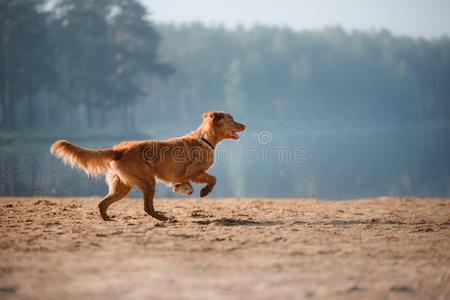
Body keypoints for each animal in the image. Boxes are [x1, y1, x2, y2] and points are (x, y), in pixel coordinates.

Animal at [50, 111, 246, 221]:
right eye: (232, 120)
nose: (245, 124)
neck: (204, 139)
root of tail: (119, 149)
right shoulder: (195, 172)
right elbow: (213, 179)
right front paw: (204, 191)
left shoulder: (186, 174)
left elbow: (187, 184)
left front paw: (182, 188)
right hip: (148, 181)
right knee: (147, 207)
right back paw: (164, 218)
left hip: (122, 186)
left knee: (102, 203)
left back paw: (108, 219)